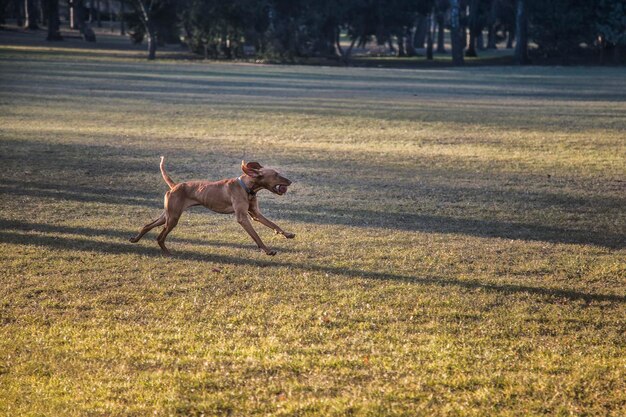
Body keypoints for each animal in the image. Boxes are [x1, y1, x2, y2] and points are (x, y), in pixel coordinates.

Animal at [130, 156, 294, 254]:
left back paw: (136, 239)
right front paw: (267, 250)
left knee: (148, 225)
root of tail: (175, 186)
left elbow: (274, 225)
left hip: (167, 215)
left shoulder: (256, 214)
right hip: (173, 218)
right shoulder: (242, 218)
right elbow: (256, 236)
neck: (247, 188)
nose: (290, 181)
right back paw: (168, 252)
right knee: (160, 237)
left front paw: (287, 234)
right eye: (276, 175)